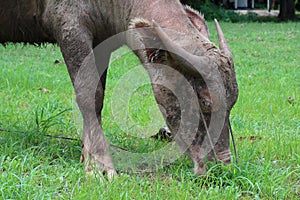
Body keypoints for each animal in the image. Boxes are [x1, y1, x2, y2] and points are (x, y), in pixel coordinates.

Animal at [0, 0, 239, 178]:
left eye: (232, 103)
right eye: (205, 101)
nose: (222, 166)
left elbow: (99, 95)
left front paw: (86, 154)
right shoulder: (69, 26)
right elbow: (90, 94)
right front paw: (100, 166)